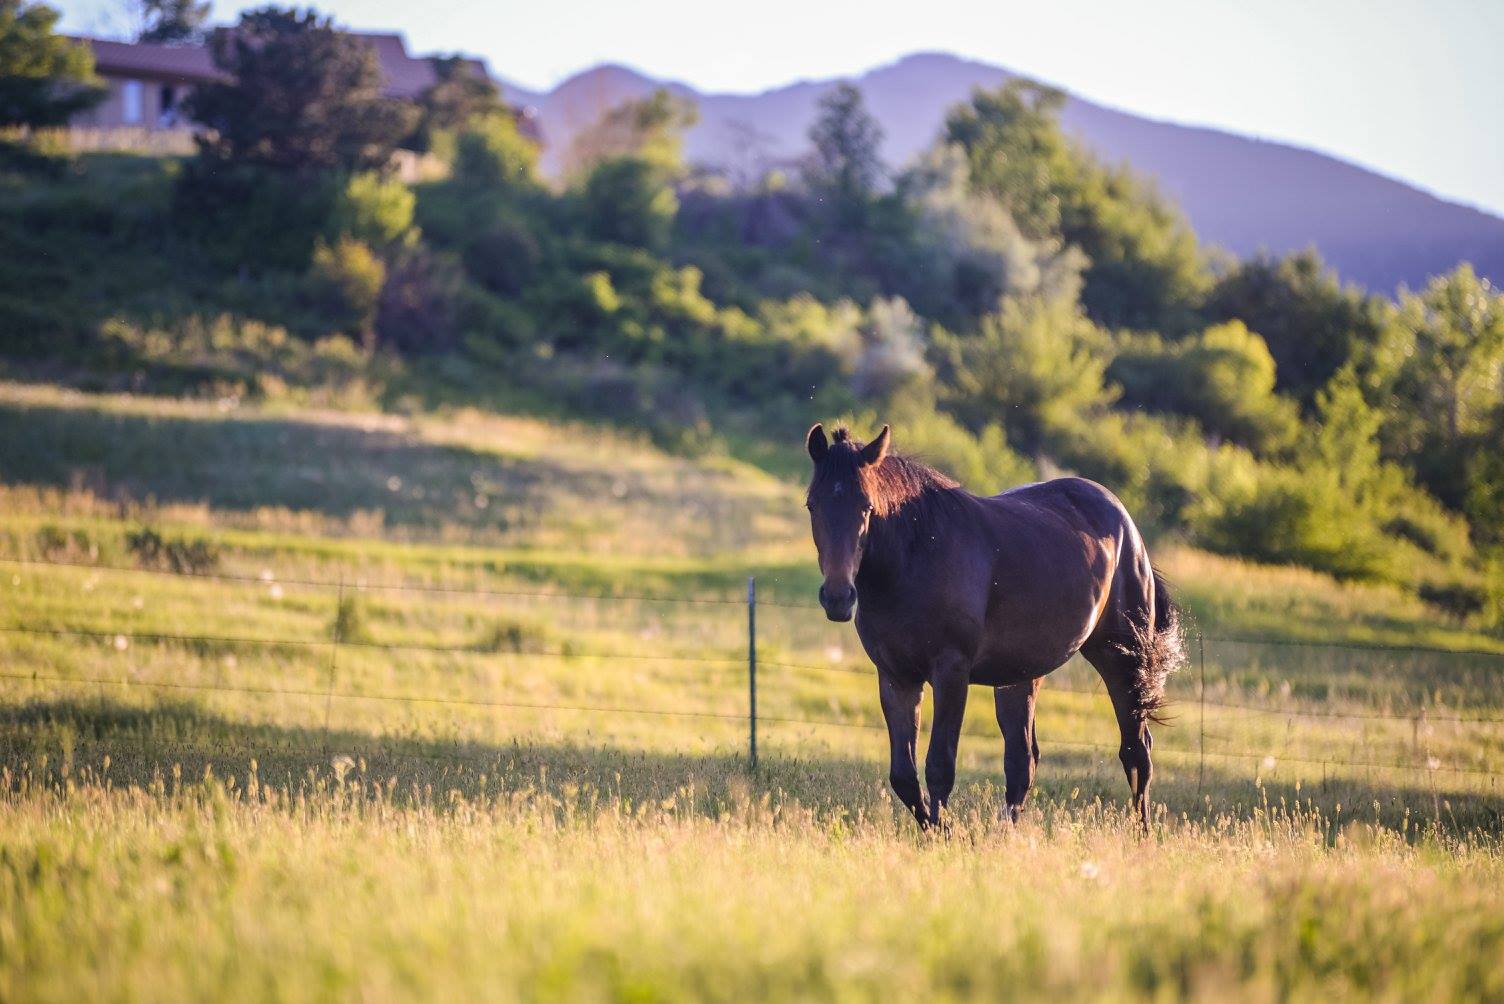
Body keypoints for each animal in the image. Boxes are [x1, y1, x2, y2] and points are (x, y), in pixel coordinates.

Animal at [806, 420, 1179, 829]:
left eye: (867, 507)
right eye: (813, 505)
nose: (838, 597)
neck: (915, 557)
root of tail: (1127, 525)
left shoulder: (951, 673)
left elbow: (939, 766)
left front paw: (948, 833)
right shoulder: (896, 678)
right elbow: (903, 775)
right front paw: (938, 830)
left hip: (1120, 659)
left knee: (1136, 750)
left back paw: (1142, 832)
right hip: (1021, 676)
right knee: (1022, 760)